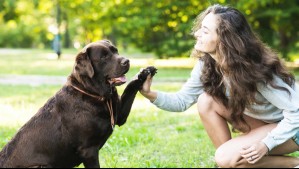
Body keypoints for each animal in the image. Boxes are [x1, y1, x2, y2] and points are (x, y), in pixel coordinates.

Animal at [0, 40, 158, 168]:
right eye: (103, 57)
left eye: (116, 51)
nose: (127, 61)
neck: (94, 94)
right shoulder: (88, 150)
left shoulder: (119, 116)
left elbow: (130, 86)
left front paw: (144, 73)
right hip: (42, 166)